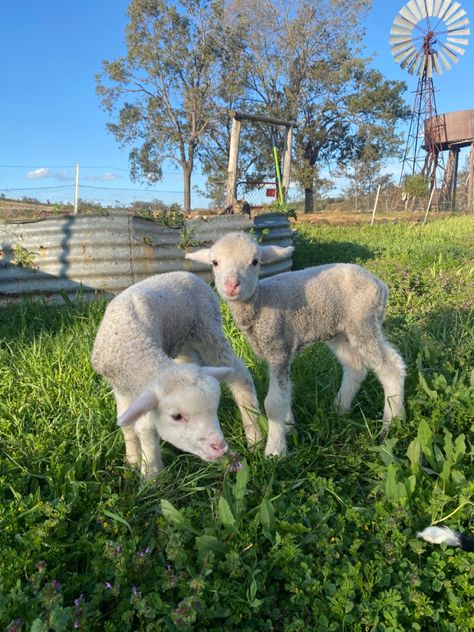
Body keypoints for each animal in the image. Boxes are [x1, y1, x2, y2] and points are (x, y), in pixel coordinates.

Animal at [90, 272, 262, 478]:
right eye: (177, 417)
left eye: (214, 409)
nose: (220, 448)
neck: (133, 346)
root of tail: (186, 273)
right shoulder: (122, 388)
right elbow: (127, 423)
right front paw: (132, 461)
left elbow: (145, 428)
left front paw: (151, 475)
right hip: (185, 341)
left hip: (207, 327)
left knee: (240, 375)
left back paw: (255, 437)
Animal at [185, 230, 404, 456]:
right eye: (215, 262)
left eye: (255, 262)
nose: (231, 286)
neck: (260, 303)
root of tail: (380, 284)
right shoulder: (280, 351)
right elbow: (286, 394)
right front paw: (289, 429)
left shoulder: (279, 349)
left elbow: (274, 403)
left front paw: (275, 451)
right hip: (340, 331)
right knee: (355, 367)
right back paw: (339, 409)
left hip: (364, 322)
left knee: (391, 367)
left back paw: (391, 423)